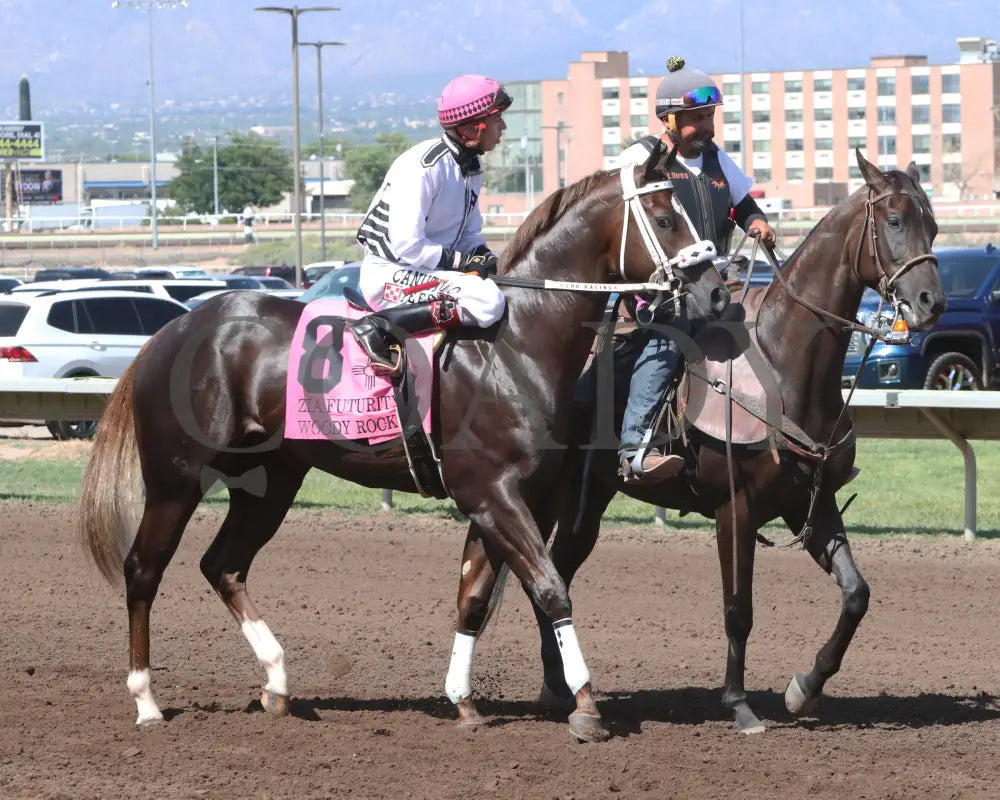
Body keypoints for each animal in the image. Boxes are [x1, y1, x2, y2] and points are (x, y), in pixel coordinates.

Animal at [78, 152, 732, 744]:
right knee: (144, 568)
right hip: (176, 478)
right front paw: (587, 705)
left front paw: (463, 700)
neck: (515, 344)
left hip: (270, 481)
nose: (717, 292)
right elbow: (549, 587)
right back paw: (146, 699)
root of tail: (176, 326)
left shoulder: (516, 499)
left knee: (223, 564)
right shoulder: (492, 493)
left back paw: (278, 683)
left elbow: (476, 598)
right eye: (666, 217)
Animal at [454, 150, 944, 736]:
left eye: (933, 226)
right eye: (893, 220)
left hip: (585, 502)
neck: (782, 367)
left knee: (559, 569)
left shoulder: (814, 503)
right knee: (547, 575)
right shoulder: (736, 509)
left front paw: (805, 687)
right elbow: (738, 609)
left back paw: (559, 686)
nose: (931, 302)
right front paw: (738, 704)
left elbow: (856, 596)